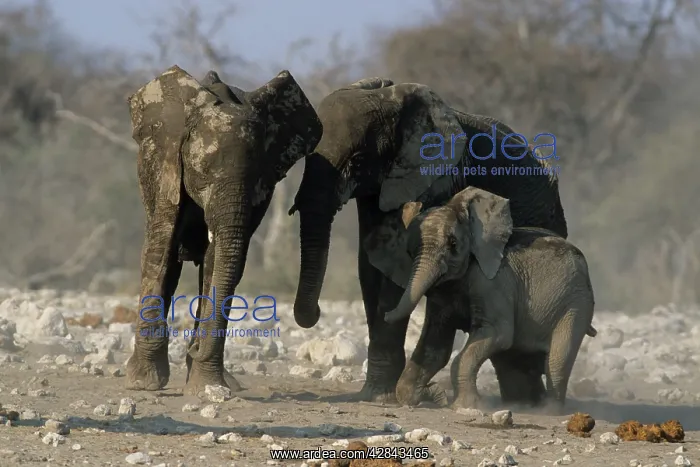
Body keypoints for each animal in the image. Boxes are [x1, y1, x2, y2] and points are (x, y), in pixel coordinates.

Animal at [125, 65, 322, 394]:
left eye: (258, 174)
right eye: (203, 171)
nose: (192, 349)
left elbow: (218, 260)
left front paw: (207, 386)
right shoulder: (165, 165)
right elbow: (161, 249)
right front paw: (143, 383)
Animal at [288, 77, 568, 402]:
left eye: (356, 162)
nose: (317, 312)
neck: (390, 99)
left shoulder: (440, 176)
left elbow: (395, 270)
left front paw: (381, 397)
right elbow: (371, 265)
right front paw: (376, 394)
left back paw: (530, 403)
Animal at [371, 187, 596, 410]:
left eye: (453, 244)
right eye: (409, 251)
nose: (385, 313)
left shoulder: (492, 283)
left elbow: (497, 334)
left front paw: (465, 405)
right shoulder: (443, 294)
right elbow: (435, 345)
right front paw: (435, 395)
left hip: (576, 302)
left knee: (558, 358)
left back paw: (548, 409)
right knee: (514, 358)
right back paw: (524, 404)